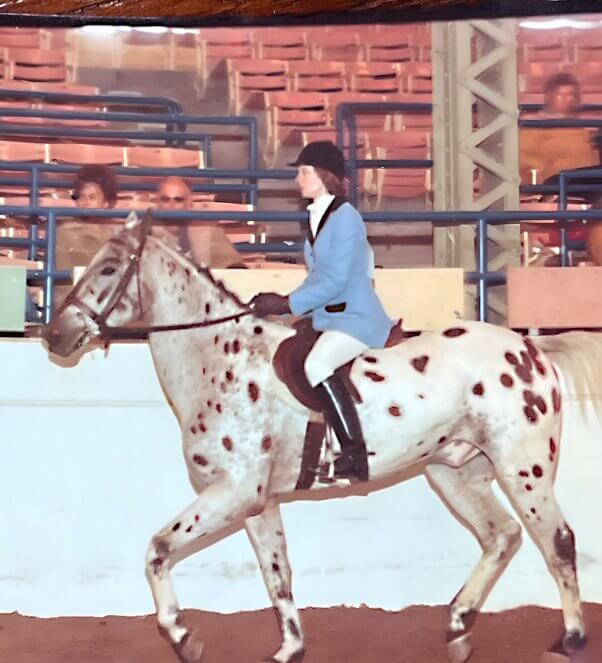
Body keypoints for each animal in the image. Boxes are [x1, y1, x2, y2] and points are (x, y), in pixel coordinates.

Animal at [42, 214, 584, 663]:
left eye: (109, 267)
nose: (52, 335)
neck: (221, 360)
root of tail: (529, 347)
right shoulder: (256, 503)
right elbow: (276, 574)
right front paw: (289, 649)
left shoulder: (231, 493)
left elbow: (157, 548)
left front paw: (181, 636)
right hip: (454, 471)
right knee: (502, 536)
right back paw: (457, 627)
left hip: (523, 467)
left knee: (557, 541)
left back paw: (568, 641)